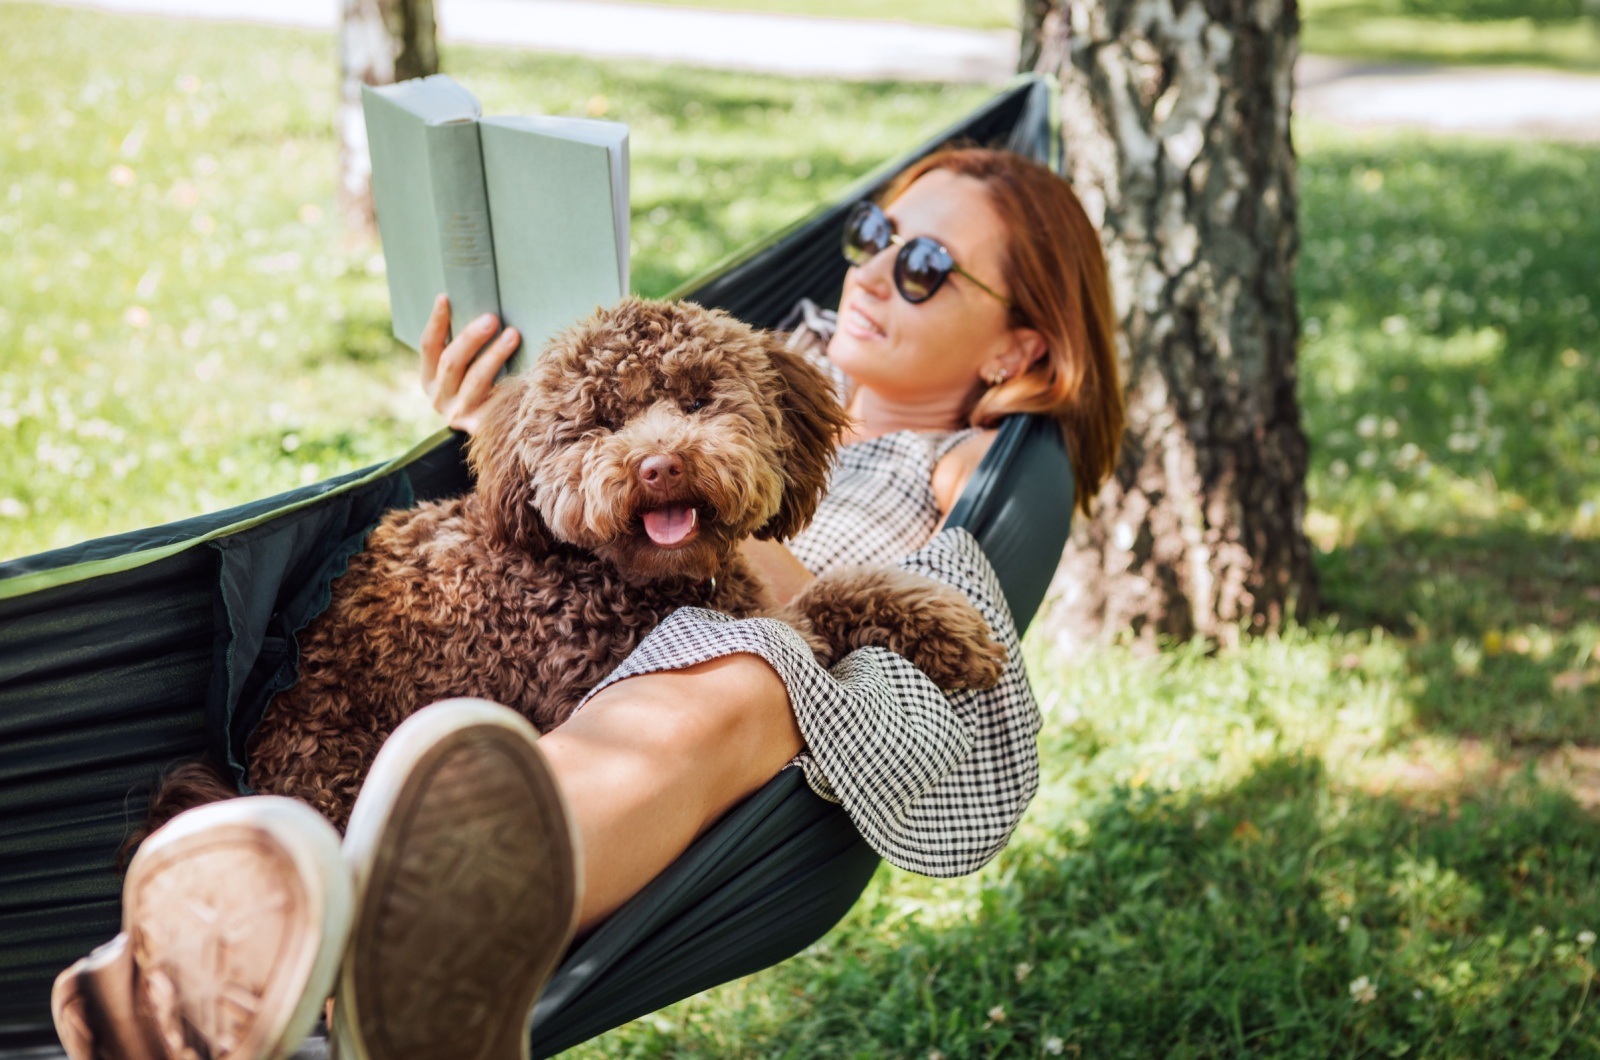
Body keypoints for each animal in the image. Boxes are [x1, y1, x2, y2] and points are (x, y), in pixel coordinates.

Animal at [147, 294, 998, 832]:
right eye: (600, 421)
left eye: (698, 400)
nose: (658, 465)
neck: (610, 577)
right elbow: (817, 614)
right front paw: (946, 626)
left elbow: (836, 594)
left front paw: (942, 625)